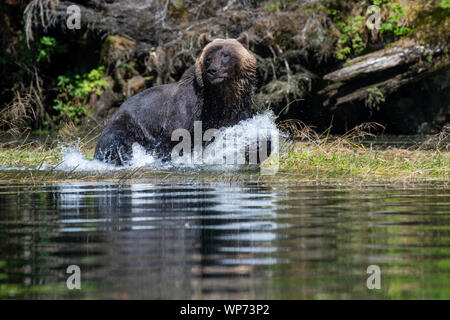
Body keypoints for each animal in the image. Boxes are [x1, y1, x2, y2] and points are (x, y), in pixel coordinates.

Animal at [93, 33, 256, 166]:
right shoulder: (188, 109)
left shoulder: (237, 111)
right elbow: (174, 138)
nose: (213, 70)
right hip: (127, 125)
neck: (220, 97)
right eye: (208, 58)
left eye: (225, 55)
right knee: (117, 142)